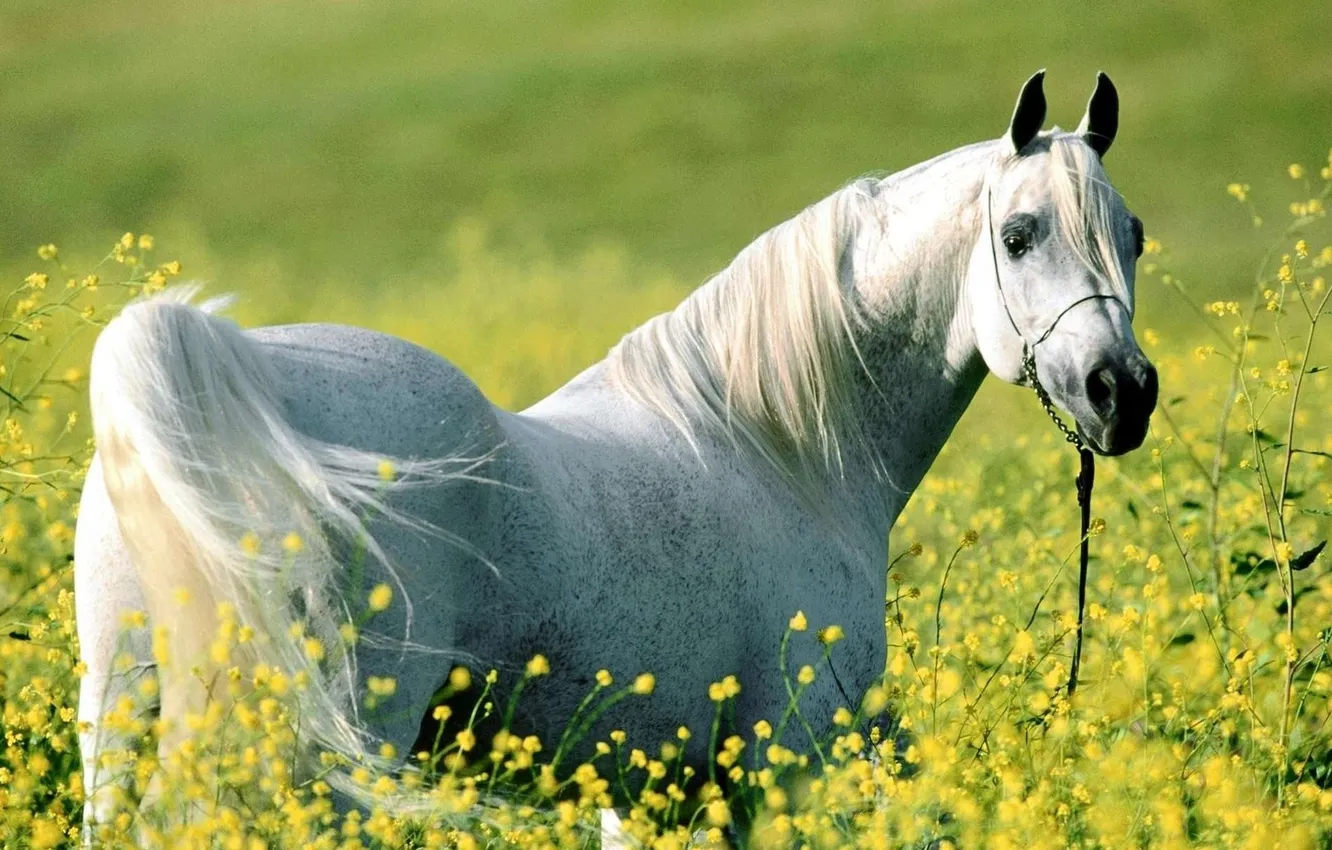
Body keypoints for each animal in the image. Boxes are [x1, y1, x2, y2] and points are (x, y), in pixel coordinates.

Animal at [74, 70, 1157, 839]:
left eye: (1135, 236)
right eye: (1018, 234)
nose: (1125, 391)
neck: (776, 447)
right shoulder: (791, 768)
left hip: (123, 723)